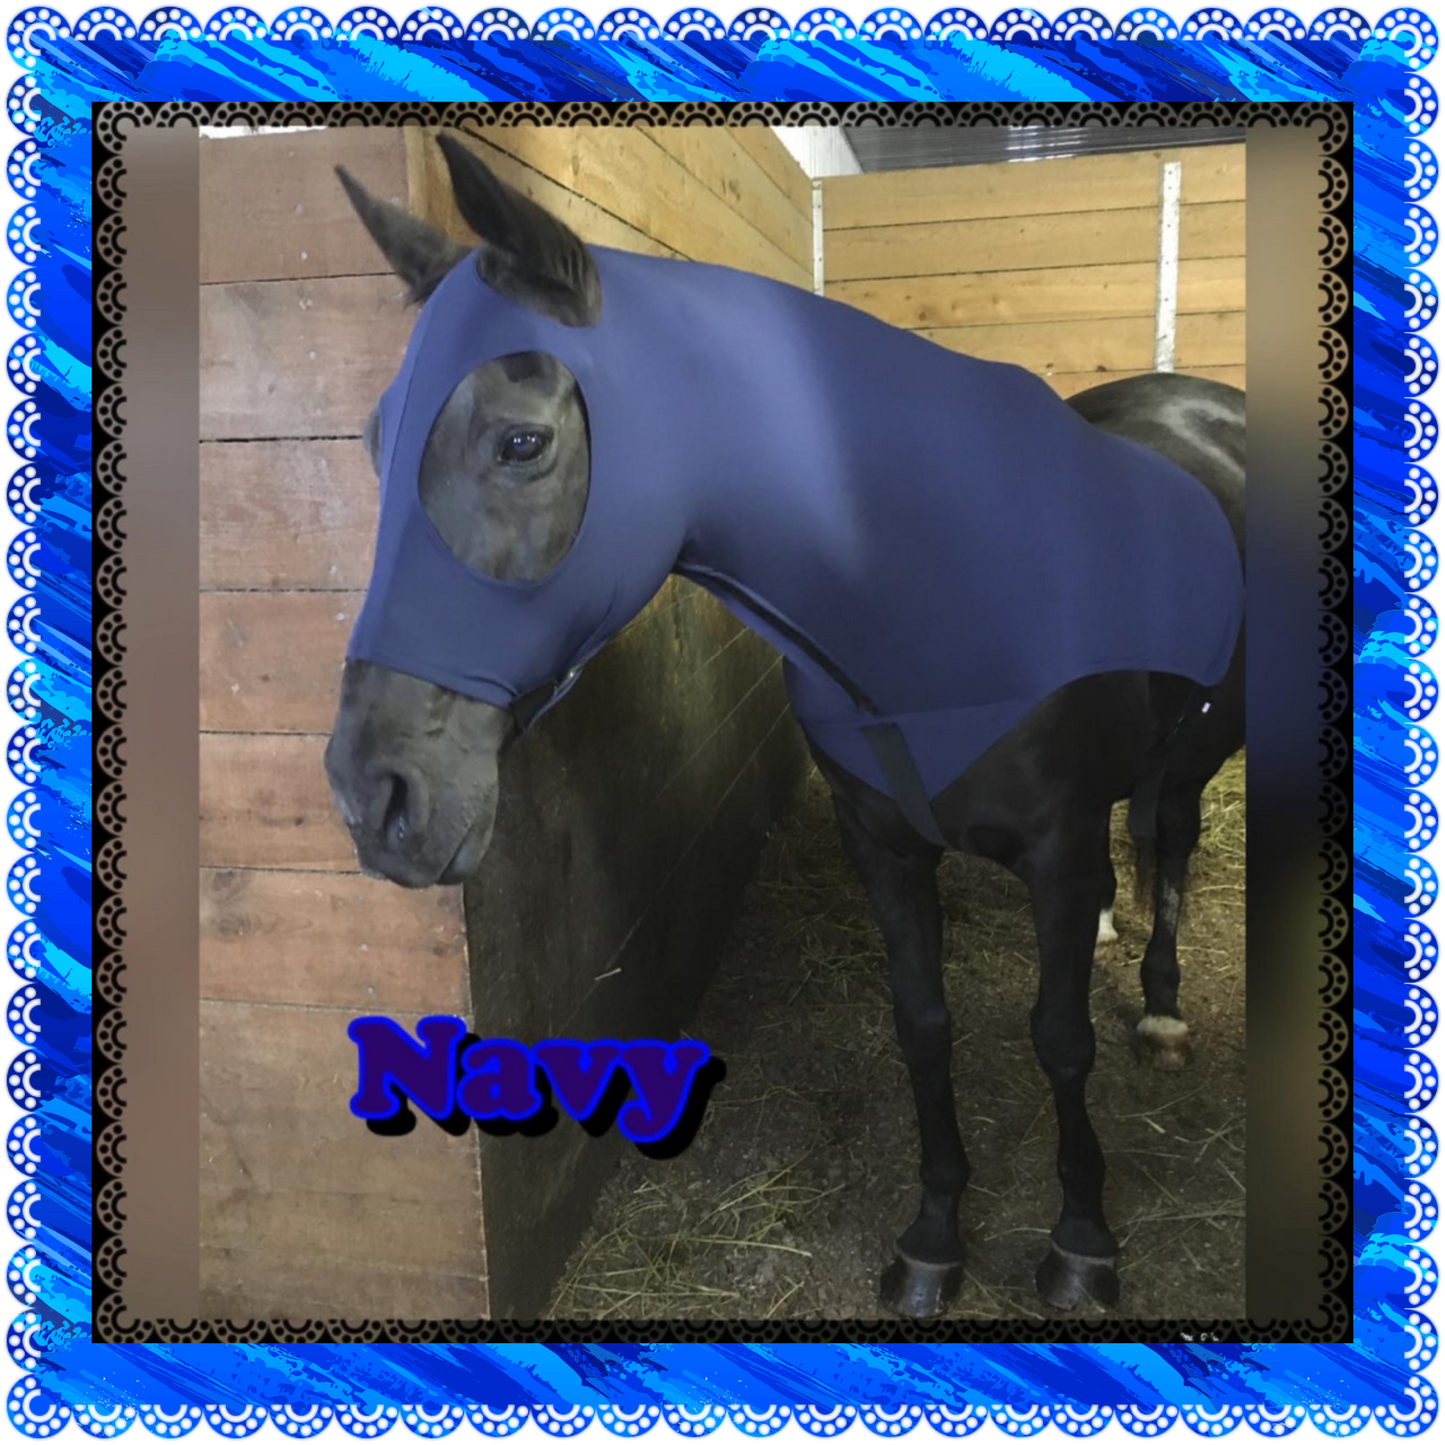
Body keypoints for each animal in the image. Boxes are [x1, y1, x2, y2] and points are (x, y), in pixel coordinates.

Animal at [324, 133, 1245, 1318]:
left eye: (520, 442)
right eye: (372, 442)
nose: (371, 796)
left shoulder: (1053, 840)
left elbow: (1058, 1038)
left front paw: (1081, 1242)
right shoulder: (883, 845)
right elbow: (922, 1027)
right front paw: (932, 1238)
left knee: (1170, 835)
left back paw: (1164, 1011)